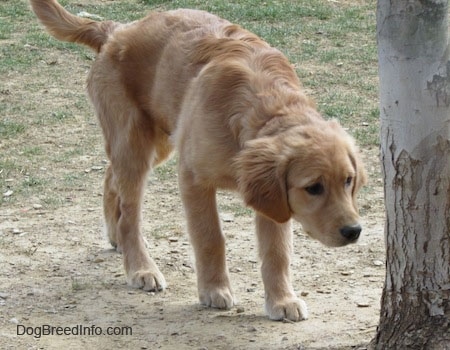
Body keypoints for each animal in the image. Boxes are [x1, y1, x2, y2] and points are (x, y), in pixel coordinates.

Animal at [29, 0, 366, 322]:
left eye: (348, 181)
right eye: (313, 188)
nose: (354, 231)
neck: (262, 107)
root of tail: (116, 29)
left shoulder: (273, 200)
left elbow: (277, 251)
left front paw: (282, 300)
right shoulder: (194, 177)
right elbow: (210, 237)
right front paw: (214, 290)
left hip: (159, 141)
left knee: (111, 177)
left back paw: (116, 237)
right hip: (135, 143)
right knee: (129, 213)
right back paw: (140, 267)